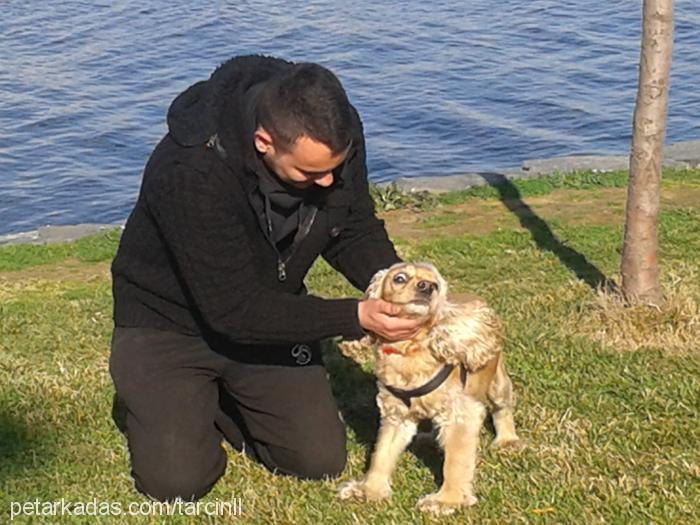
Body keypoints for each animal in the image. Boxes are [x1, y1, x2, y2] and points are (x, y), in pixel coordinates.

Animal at [340, 260, 520, 512]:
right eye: (399, 278)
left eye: (434, 283)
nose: (427, 287)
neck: (409, 351)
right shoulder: (396, 414)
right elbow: (382, 453)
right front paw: (368, 490)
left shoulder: (461, 414)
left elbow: (455, 462)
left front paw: (446, 500)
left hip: (496, 383)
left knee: (502, 408)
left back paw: (507, 441)